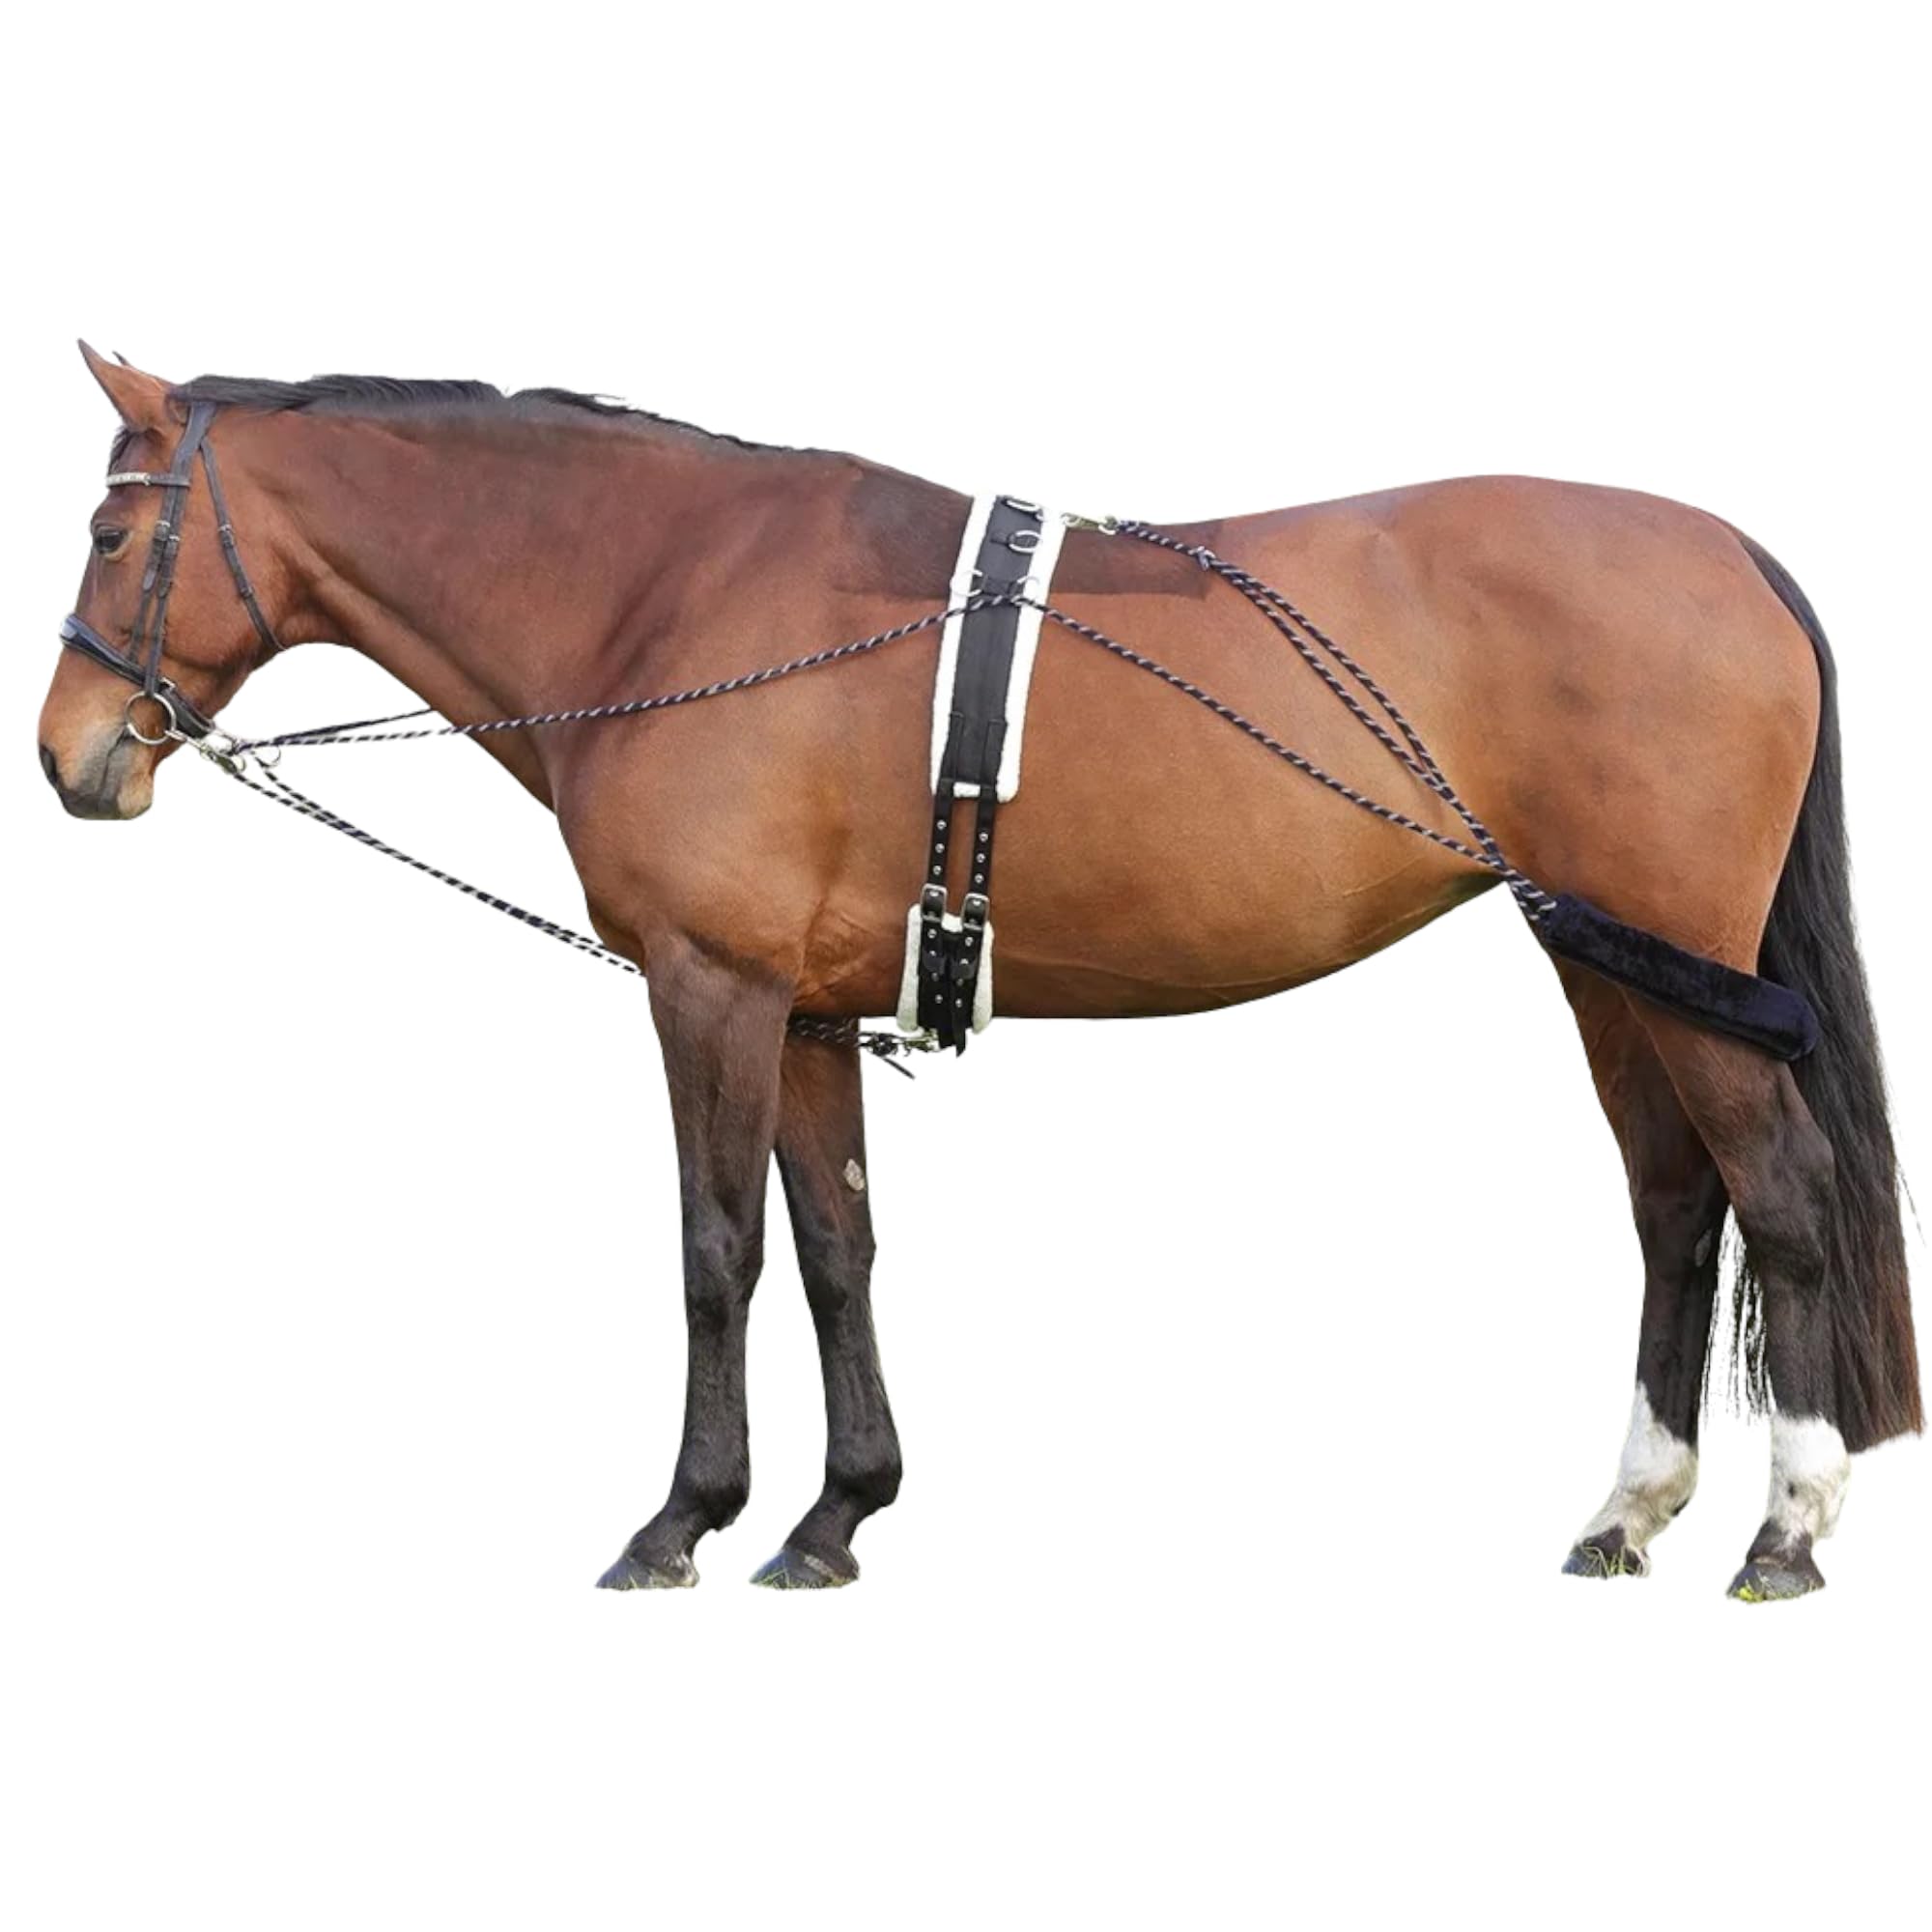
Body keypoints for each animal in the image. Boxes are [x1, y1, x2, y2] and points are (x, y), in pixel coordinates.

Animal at [38, 343, 1919, 1600]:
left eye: (113, 537)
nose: (71, 757)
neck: (666, 591)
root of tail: (1732, 555)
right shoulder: (800, 1006)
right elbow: (836, 1249)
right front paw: (834, 1515)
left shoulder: (708, 989)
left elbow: (717, 1252)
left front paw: (681, 1520)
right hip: (1612, 965)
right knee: (1678, 1201)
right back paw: (1629, 1510)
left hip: (1674, 964)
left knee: (1785, 1193)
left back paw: (1785, 1527)